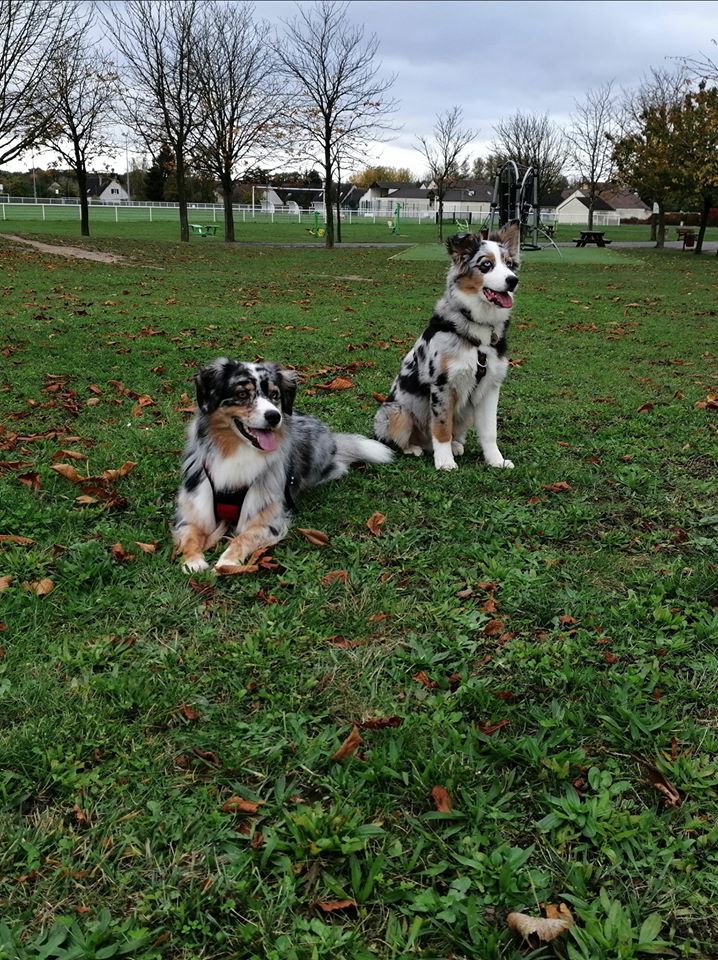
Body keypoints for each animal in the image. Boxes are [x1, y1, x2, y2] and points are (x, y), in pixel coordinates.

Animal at [173, 358, 393, 573]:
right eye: (242, 394)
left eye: (274, 395)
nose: (274, 416)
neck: (236, 451)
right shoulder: (195, 509)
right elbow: (190, 535)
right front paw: (193, 561)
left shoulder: (267, 519)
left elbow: (243, 538)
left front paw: (228, 561)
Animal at [374, 225, 520, 471]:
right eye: (486, 265)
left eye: (509, 264)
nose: (513, 280)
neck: (478, 333)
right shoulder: (442, 384)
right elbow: (441, 428)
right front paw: (444, 463)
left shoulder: (490, 387)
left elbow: (490, 431)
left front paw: (496, 460)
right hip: (395, 411)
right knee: (398, 439)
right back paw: (415, 448)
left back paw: (455, 446)